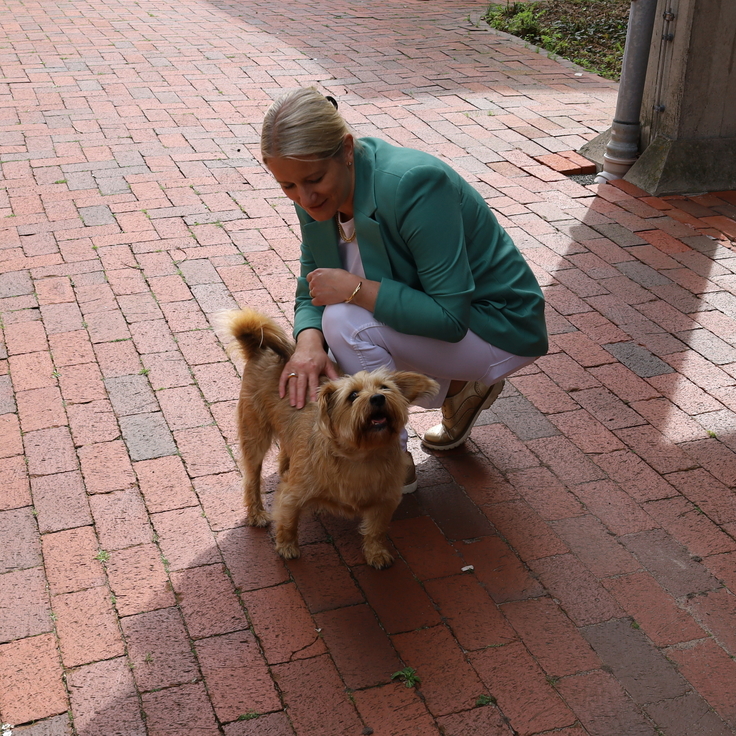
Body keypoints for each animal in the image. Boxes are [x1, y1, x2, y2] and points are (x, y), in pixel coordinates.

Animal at [218, 310, 436, 568]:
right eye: (353, 395)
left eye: (385, 388)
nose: (378, 398)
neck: (361, 456)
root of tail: (260, 349)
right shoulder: (292, 493)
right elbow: (288, 520)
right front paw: (287, 546)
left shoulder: (384, 502)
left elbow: (376, 530)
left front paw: (376, 553)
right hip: (255, 437)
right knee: (252, 478)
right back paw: (257, 513)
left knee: (285, 455)